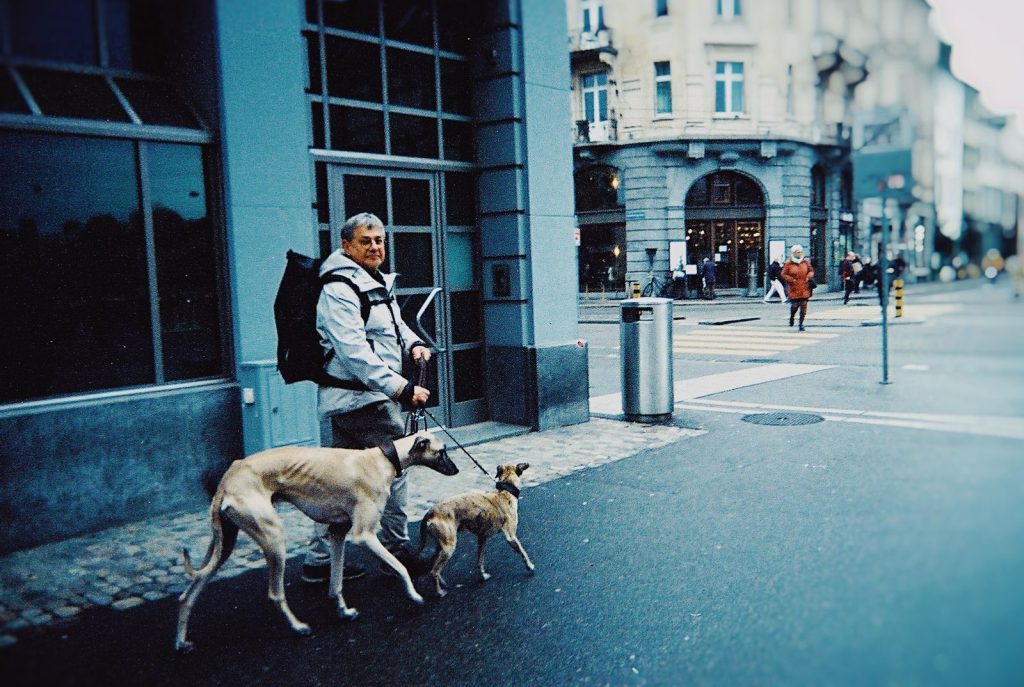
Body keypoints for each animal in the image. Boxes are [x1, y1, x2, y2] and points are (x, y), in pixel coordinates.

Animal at [175, 432, 456, 651]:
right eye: (442, 451)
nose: (456, 470)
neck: (382, 460)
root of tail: (227, 478)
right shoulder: (364, 536)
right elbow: (400, 567)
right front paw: (414, 595)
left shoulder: (337, 532)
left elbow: (336, 583)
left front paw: (344, 611)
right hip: (274, 539)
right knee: (275, 594)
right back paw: (299, 627)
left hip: (224, 545)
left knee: (189, 593)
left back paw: (181, 641)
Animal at [413, 466, 536, 597]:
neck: (505, 493)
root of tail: (429, 513)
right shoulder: (511, 537)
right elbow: (523, 553)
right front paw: (530, 566)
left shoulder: (482, 538)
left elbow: (479, 561)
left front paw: (483, 576)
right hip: (448, 548)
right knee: (433, 571)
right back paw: (439, 592)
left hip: (441, 546)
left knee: (434, 566)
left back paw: (442, 583)